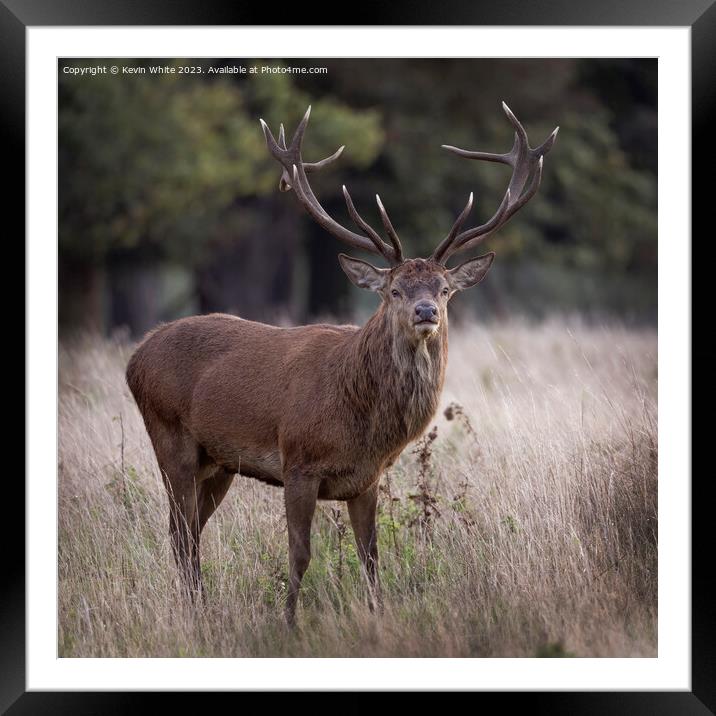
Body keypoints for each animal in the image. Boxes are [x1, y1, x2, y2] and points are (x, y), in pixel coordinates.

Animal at [126, 102, 556, 628]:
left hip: (219, 463)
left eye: (444, 289)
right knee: (180, 532)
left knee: (187, 532)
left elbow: (371, 557)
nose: (426, 312)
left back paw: (199, 608)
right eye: (394, 290)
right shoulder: (298, 462)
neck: (362, 424)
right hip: (170, 438)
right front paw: (288, 623)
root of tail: (136, 355)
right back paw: (196, 610)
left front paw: (378, 617)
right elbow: (300, 553)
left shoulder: (366, 479)